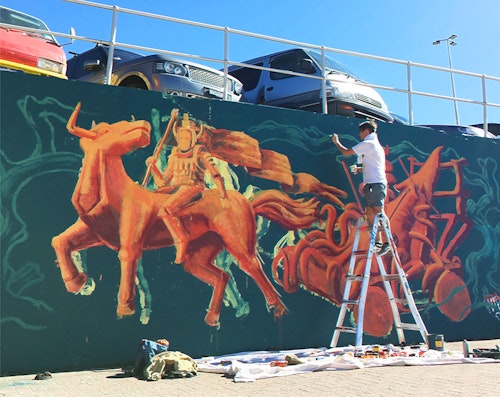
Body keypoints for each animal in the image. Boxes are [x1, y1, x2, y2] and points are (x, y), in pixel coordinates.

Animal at [51, 102, 320, 324]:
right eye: (107, 130)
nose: (144, 126)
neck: (116, 192)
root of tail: (246, 202)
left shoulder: (132, 234)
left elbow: (127, 256)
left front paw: (124, 307)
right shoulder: (94, 230)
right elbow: (60, 240)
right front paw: (76, 281)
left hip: (237, 241)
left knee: (252, 265)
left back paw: (277, 308)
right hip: (201, 252)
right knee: (221, 276)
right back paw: (212, 317)